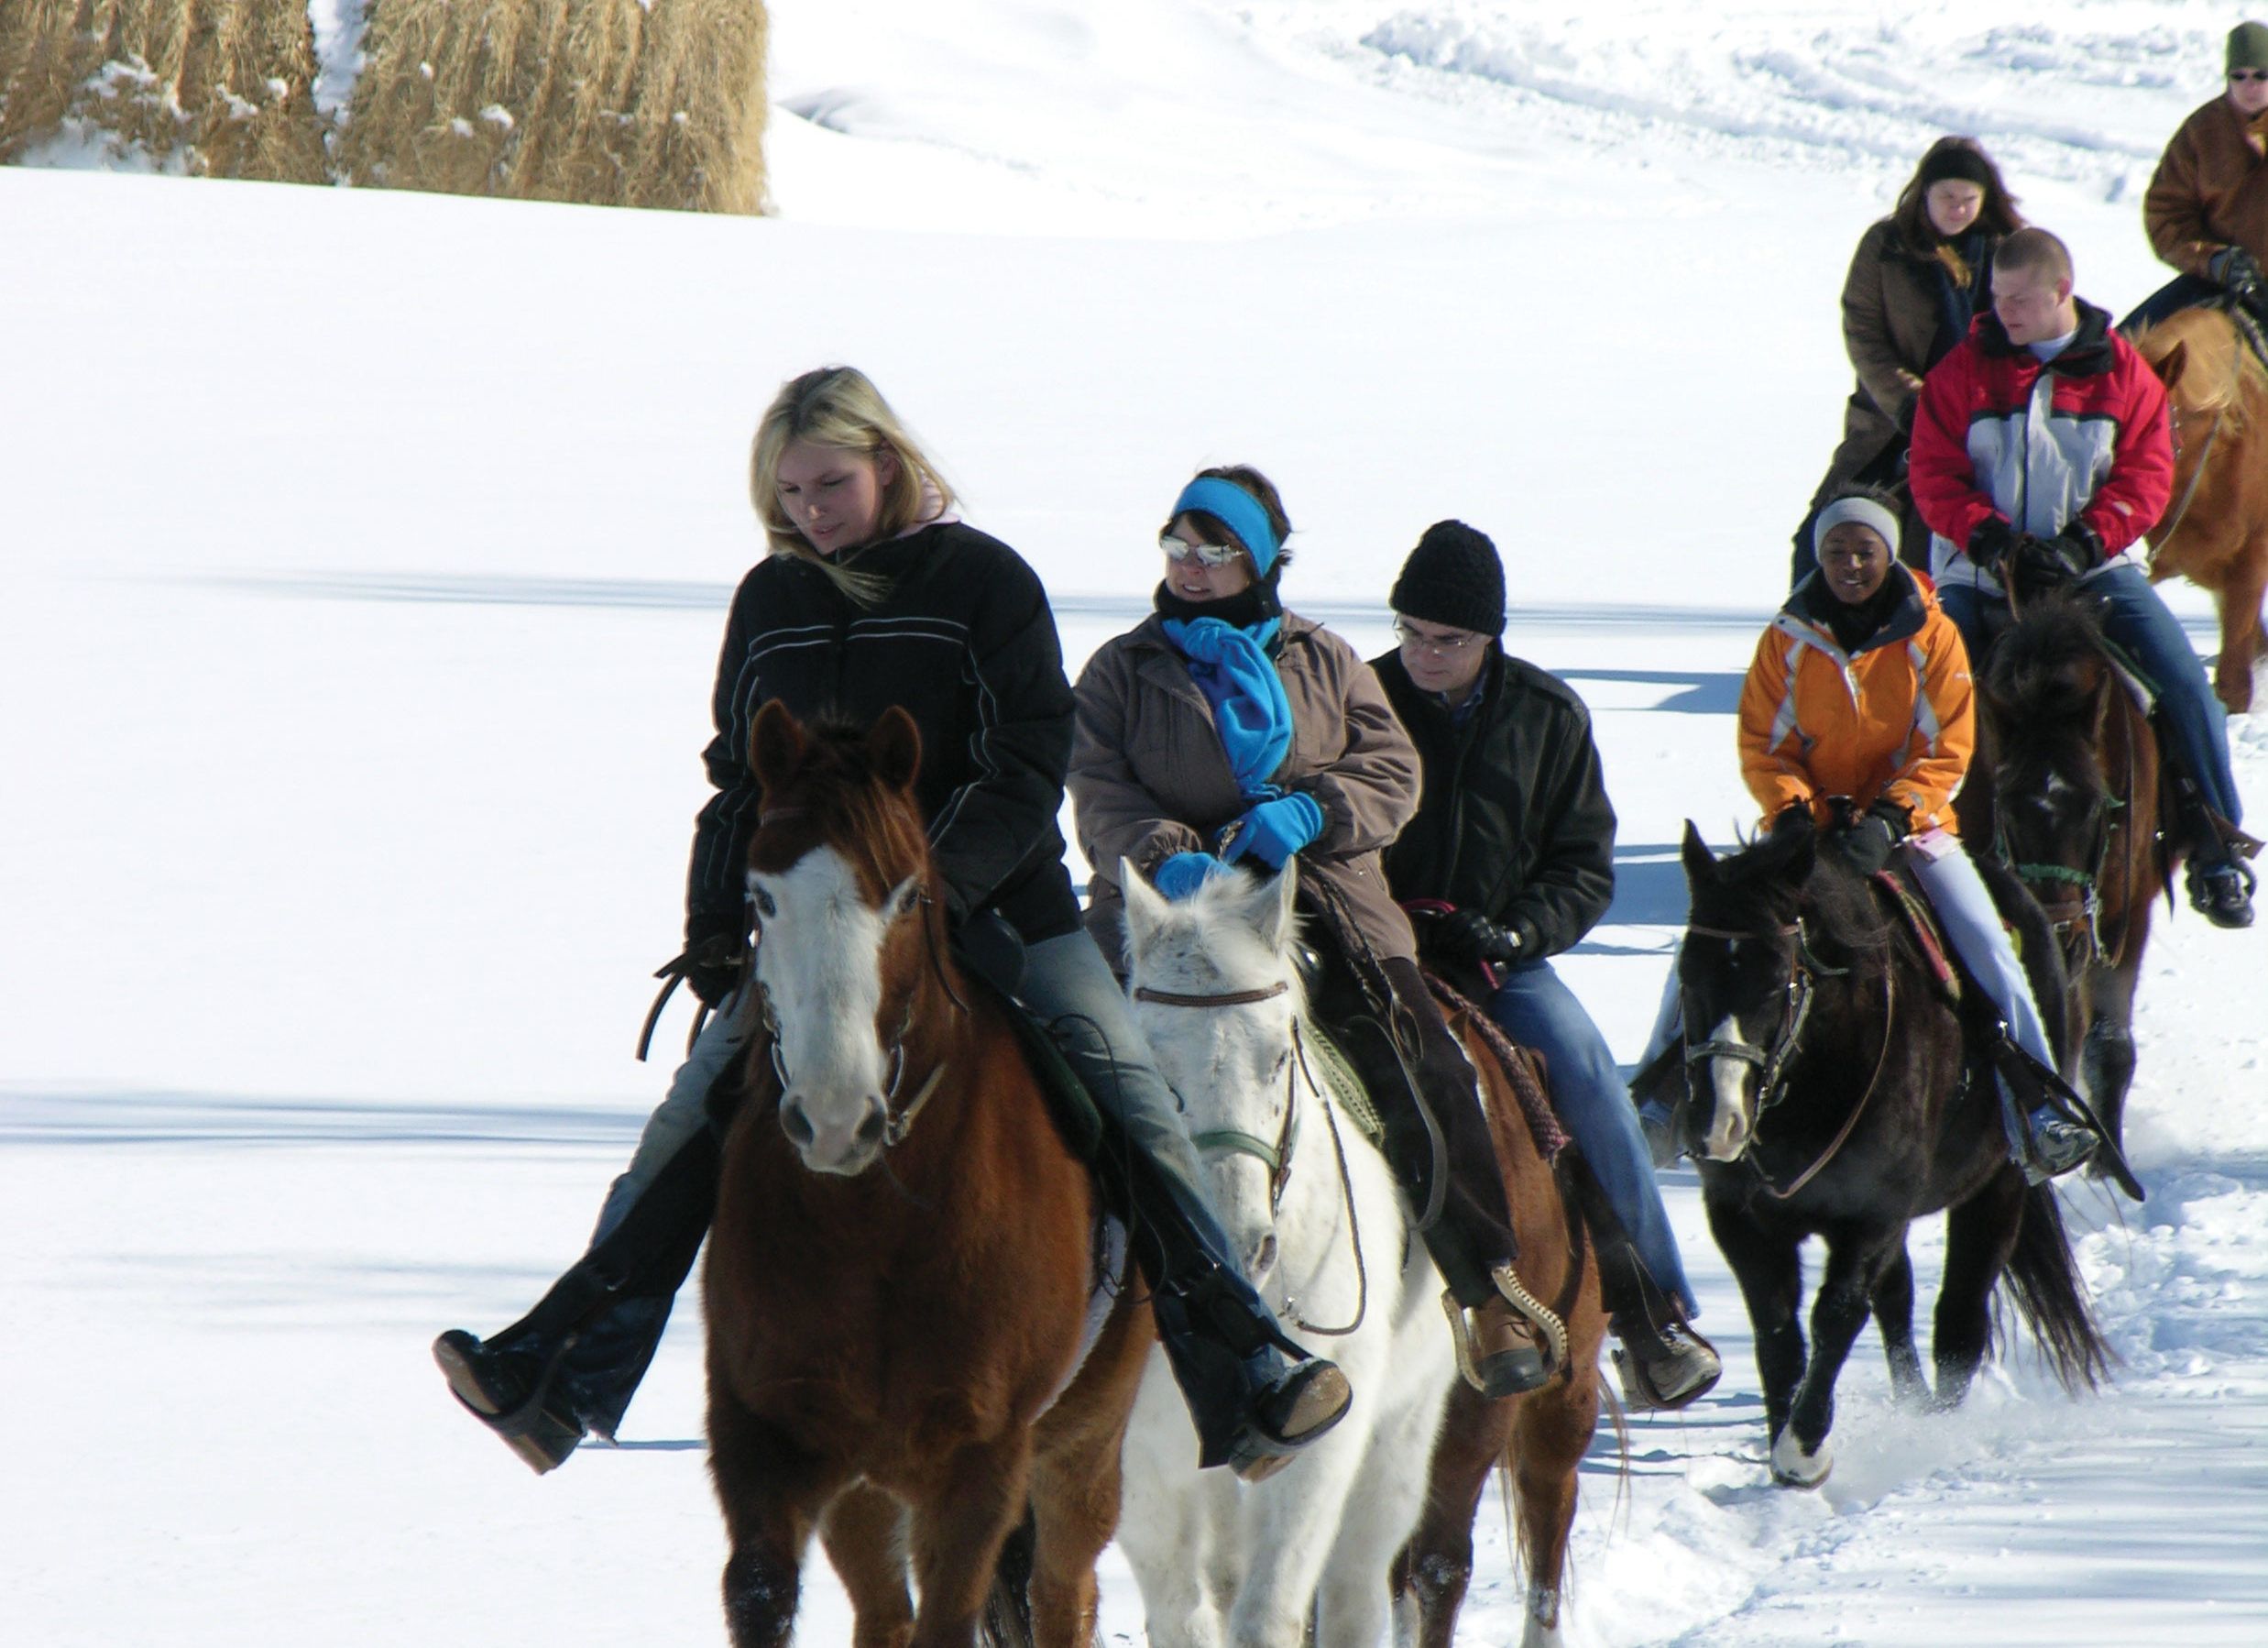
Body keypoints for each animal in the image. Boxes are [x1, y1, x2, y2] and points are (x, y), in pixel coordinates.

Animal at [701, 701, 1153, 1648]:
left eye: (907, 895)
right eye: (762, 897)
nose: (835, 1115)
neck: (880, 1225)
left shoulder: (979, 1461)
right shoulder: (764, 1439)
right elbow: (760, 1592)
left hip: (1083, 1449)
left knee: (1063, 1596)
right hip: (865, 1494)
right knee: (883, 1614)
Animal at [1109, 862, 1604, 1648]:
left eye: (1280, 1054)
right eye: (1150, 1063)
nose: (1237, 1243)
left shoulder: (1324, 1445)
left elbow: (1271, 1614)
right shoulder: (1142, 1465)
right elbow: (1184, 1616)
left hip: (1423, 1428)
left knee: (1379, 1581)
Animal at [1674, 820, 2109, 1489]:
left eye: (1776, 980)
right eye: (1686, 975)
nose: (1718, 1125)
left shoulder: (1872, 1214)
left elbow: (1836, 1313)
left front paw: (1804, 1450)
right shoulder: (1741, 1221)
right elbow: (1777, 1327)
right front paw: (1783, 1438)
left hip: (1999, 1189)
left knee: (1958, 1317)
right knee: (1898, 1300)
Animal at [1961, 591, 2164, 1161]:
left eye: (2095, 807)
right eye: (2007, 806)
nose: (2062, 934)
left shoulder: (2128, 911)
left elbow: (2110, 1043)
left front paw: (2105, 1158)